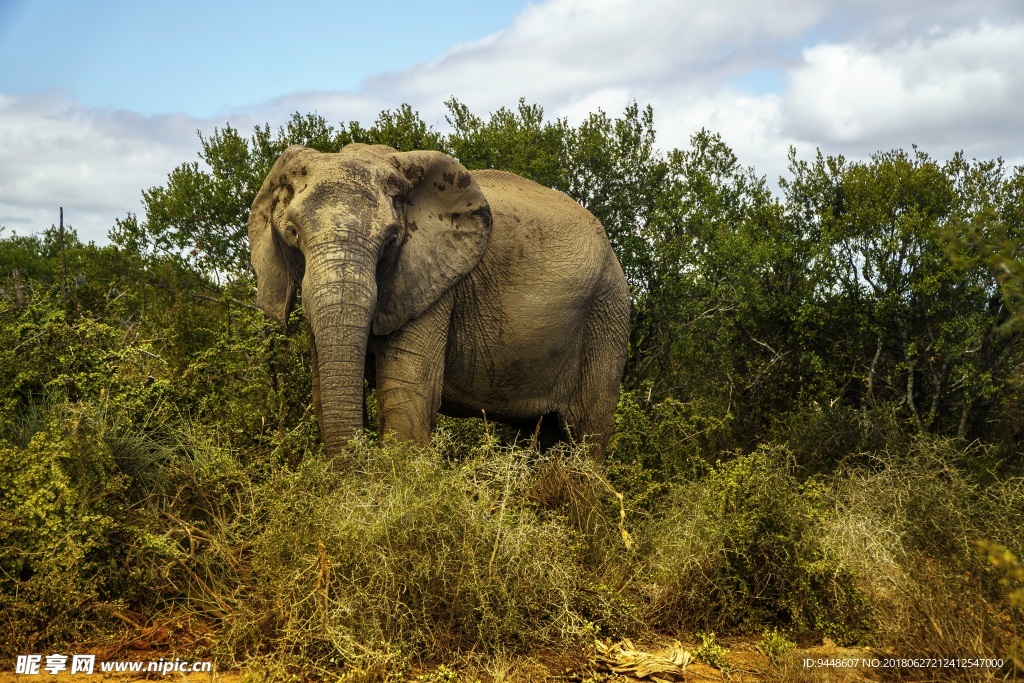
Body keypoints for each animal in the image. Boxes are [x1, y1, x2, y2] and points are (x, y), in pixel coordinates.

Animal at [249, 144, 630, 464]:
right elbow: (320, 393)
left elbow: (407, 394)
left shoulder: (434, 284)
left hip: (606, 309)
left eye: (391, 242)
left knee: (586, 434)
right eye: (293, 234)